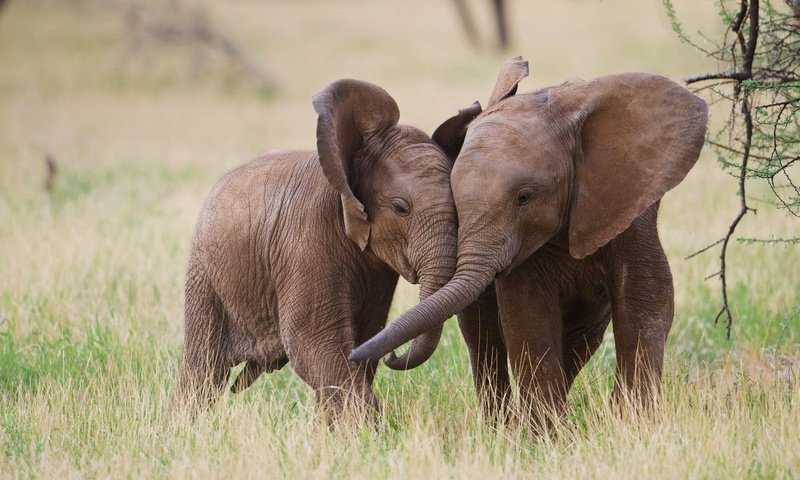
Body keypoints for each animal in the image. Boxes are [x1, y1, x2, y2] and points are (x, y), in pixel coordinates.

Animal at [177, 80, 460, 418]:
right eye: (401, 208)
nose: (394, 355)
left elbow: (363, 339)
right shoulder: (308, 241)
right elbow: (313, 342)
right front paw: (366, 428)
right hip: (205, 274)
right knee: (204, 369)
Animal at [350, 57, 708, 428]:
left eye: (524, 197)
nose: (385, 355)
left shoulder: (630, 206)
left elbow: (646, 297)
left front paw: (632, 424)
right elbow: (528, 311)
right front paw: (546, 434)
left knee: (581, 337)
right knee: (483, 335)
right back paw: (501, 426)